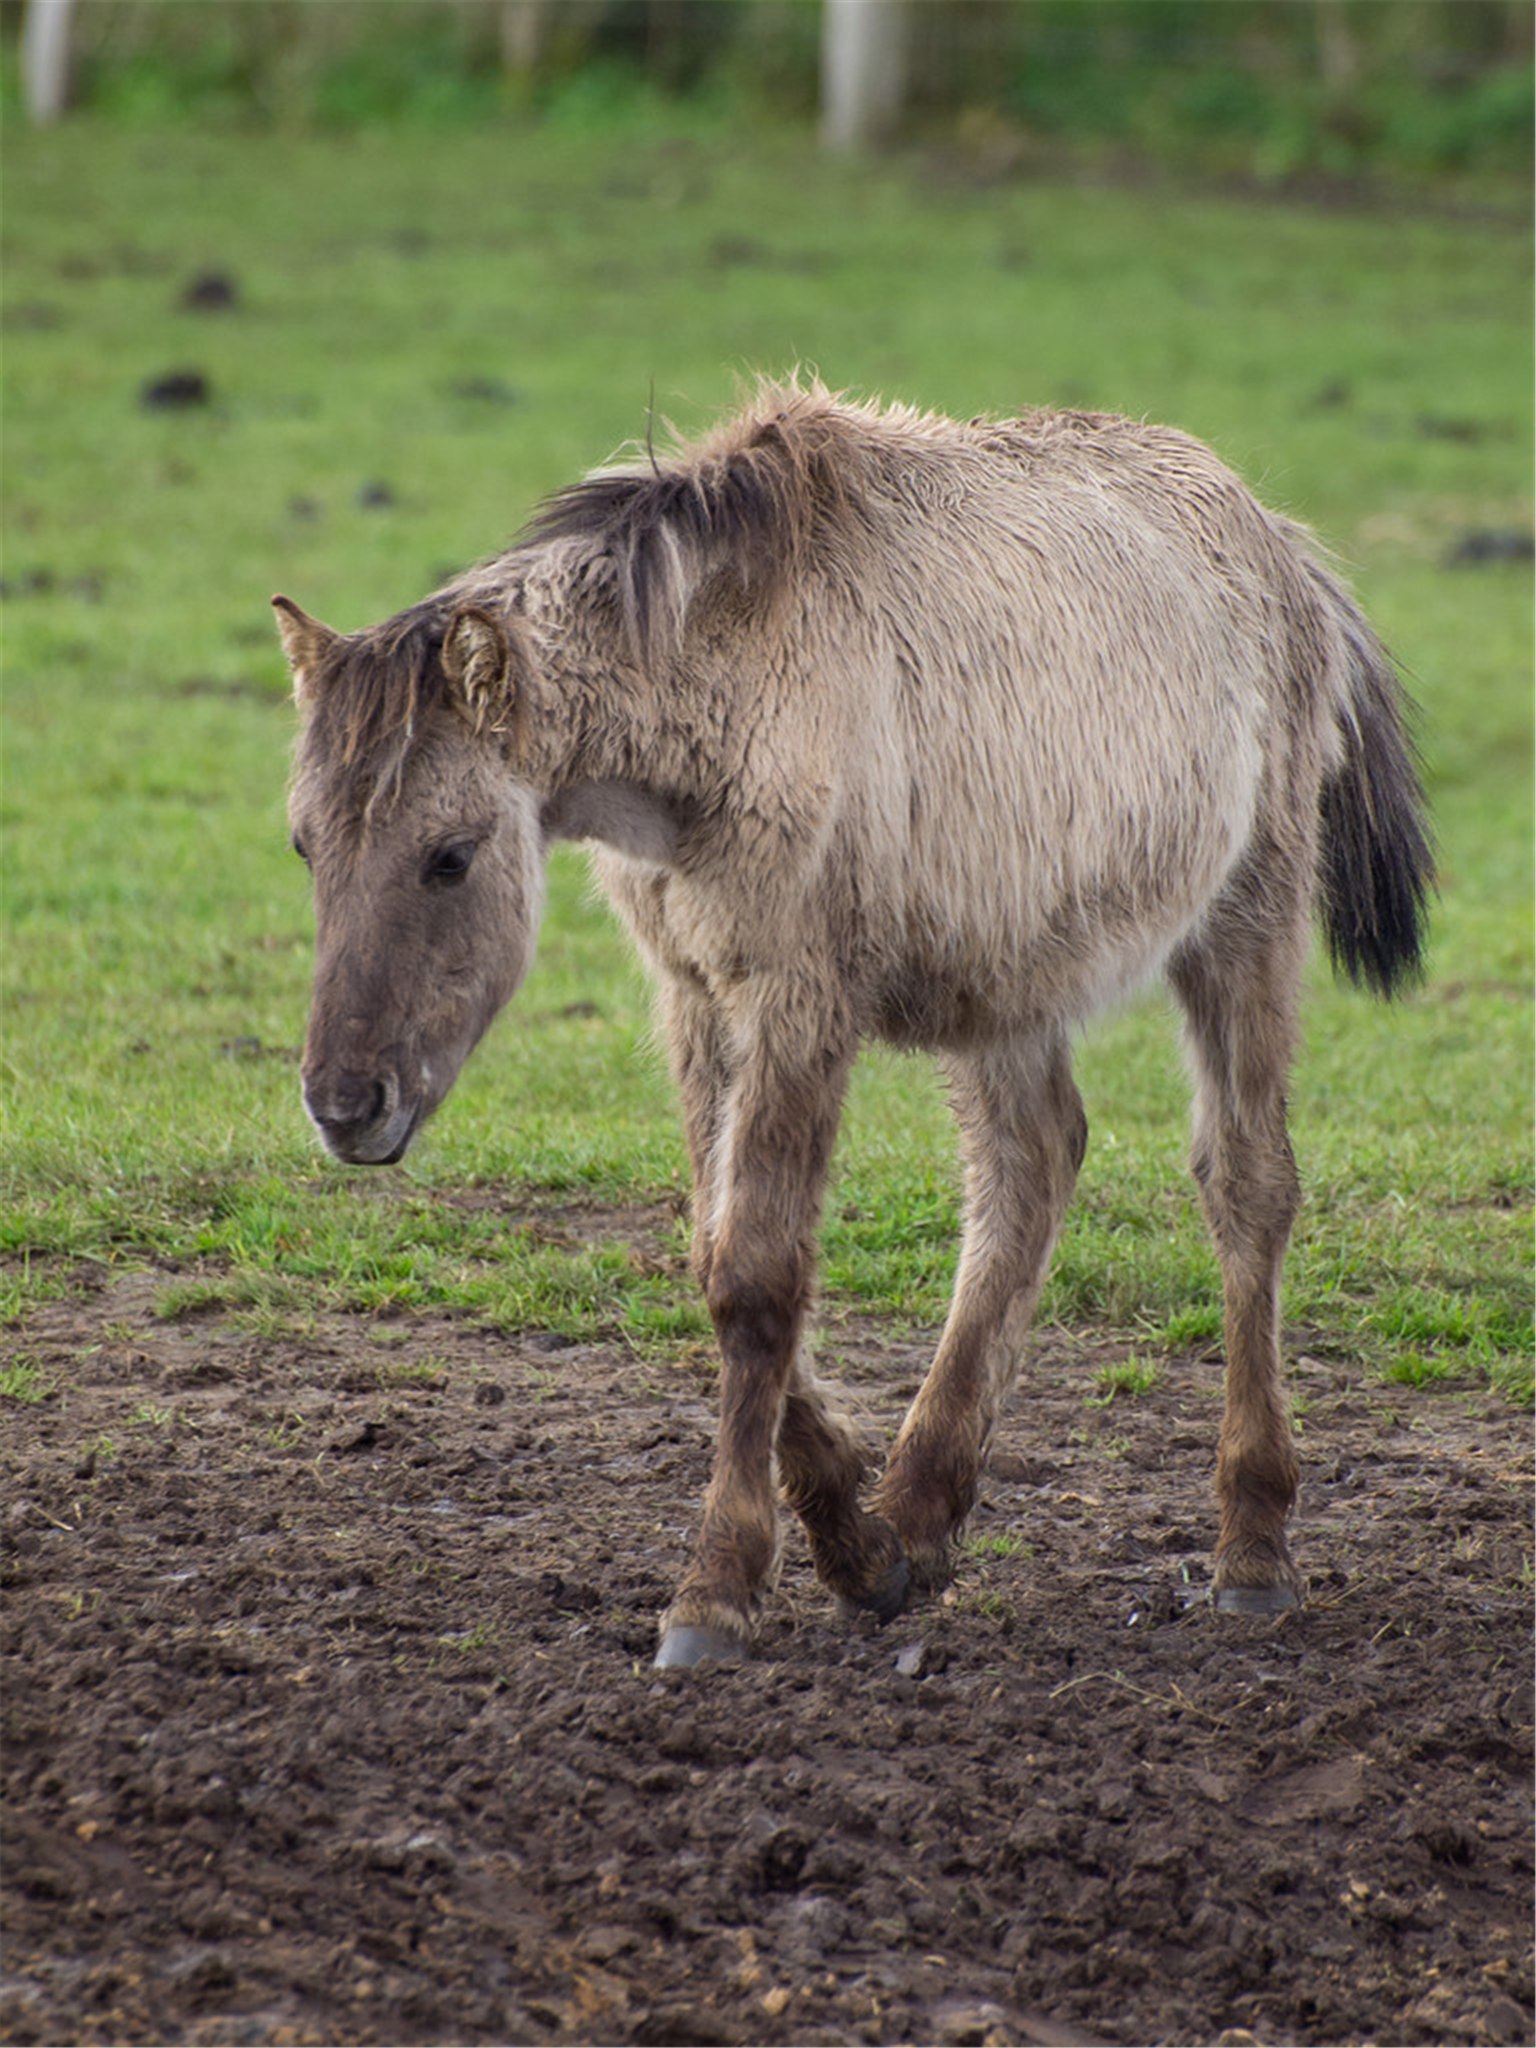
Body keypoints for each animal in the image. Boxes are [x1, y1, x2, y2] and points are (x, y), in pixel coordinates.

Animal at [274, 380, 1433, 1662]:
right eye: (305, 846)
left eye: (450, 854)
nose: (345, 1105)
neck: (732, 674)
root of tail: (1280, 543)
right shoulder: (699, 997)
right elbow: (714, 1253)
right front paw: (860, 1547)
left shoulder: (795, 1001)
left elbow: (757, 1276)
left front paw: (717, 1586)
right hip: (1006, 977)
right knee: (1031, 1165)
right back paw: (921, 1509)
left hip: (1246, 921)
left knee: (1247, 1184)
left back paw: (1252, 1546)